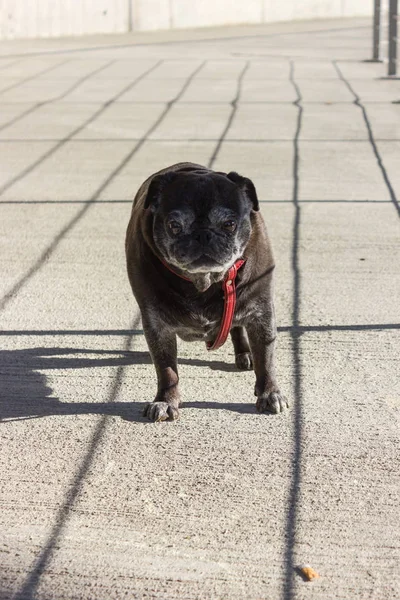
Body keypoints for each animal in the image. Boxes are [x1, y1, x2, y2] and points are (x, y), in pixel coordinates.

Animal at [126, 162, 286, 420]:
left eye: (229, 224)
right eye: (174, 226)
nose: (202, 234)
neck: (204, 281)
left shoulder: (261, 313)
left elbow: (266, 357)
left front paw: (270, 393)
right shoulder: (157, 324)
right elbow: (166, 369)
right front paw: (165, 401)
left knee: (238, 329)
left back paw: (244, 353)